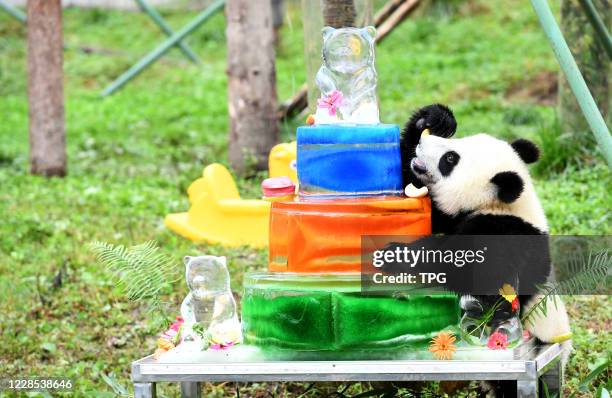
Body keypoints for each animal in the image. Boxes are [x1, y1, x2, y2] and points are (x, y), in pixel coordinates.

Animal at [400, 103, 572, 394]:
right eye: (459, 141)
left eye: (450, 159)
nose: (423, 142)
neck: (503, 205)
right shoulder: (454, 215)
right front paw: (434, 119)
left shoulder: (505, 233)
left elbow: (468, 274)